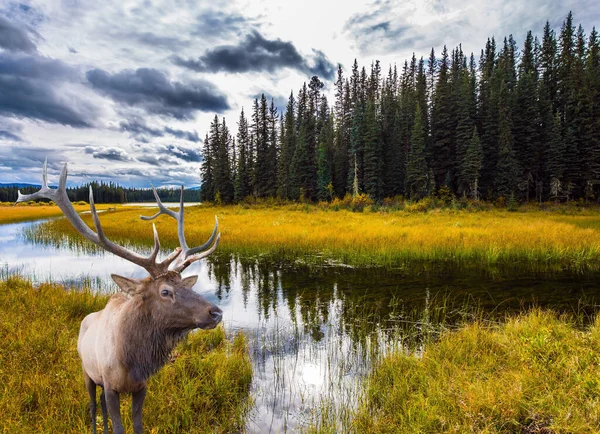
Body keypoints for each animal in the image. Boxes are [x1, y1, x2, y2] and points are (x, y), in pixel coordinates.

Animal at [20, 161, 225, 432]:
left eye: (186, 285)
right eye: (165, 292)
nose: (216, 312)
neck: (132, 361)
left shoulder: (141, 387)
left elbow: (137, 425)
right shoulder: (110, 386)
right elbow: (118, 425)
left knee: (101, 408)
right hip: (86, 372)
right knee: (93, 406)